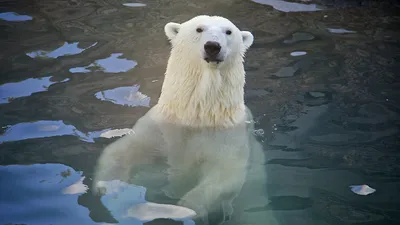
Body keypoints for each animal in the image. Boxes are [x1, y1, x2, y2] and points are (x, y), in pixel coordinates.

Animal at [92, 14, 264, 224]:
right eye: (199, 29)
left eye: (228, 31)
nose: (212, 46)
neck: (196, 116)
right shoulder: (160, 127)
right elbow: (123, 150)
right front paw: (110, 186)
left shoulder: (229, 136)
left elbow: (226, 173)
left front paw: (186, 207)